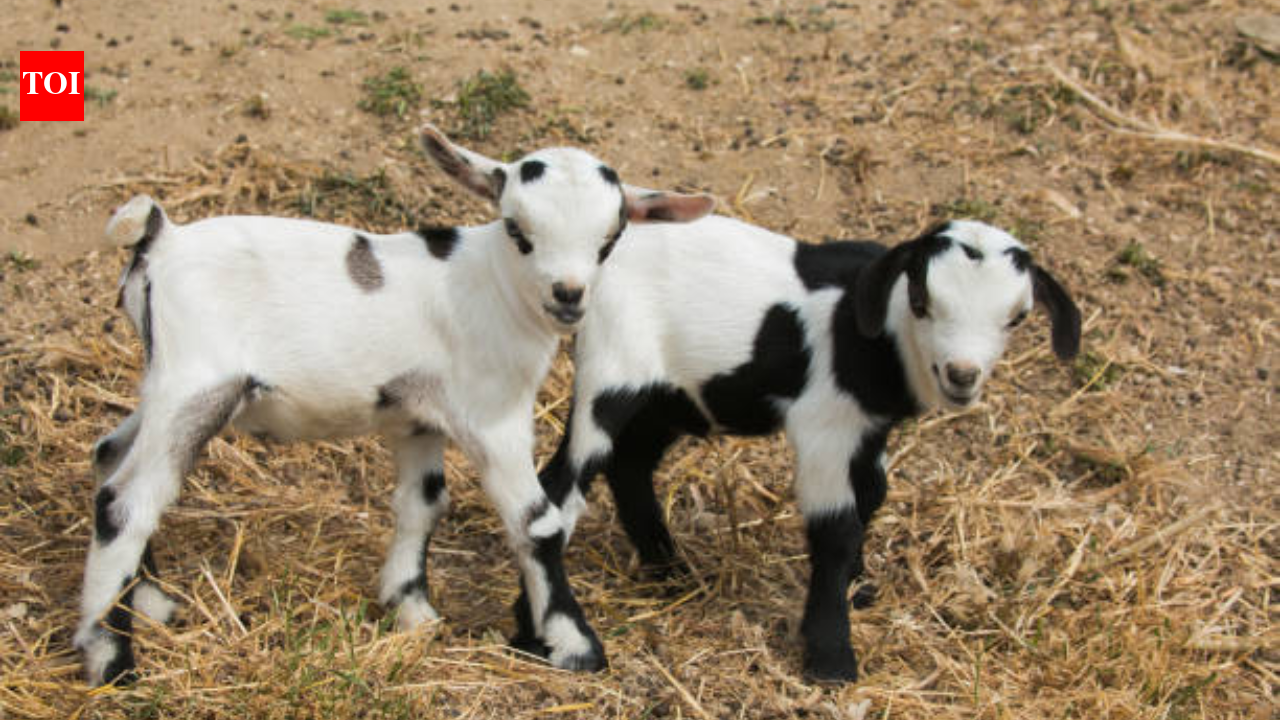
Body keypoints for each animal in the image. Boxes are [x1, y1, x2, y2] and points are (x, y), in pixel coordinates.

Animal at [76, 124, 715, 686]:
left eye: (611, 238)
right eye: (517, 230)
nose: (569, 296)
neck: (493, 287)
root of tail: (160, 239)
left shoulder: (417, 417)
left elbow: (422, 504)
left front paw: (411, 611)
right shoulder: (492, 415)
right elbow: (537, 522)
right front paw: (574, 644)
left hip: (168, 382)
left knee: (110, 457)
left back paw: (150, 603)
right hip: (196, 382)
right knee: (126, 502)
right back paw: (111, 660)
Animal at [514, 217, 1081, 682]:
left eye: (1017, 317)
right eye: (922, 301)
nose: (962, 375)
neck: (878, 338)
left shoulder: (868, 428)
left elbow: (872, 494)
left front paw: (859, 587)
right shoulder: (825, 427)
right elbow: (835, 527)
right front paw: (831, 658)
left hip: (669, 396)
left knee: (631, 465)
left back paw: (669, 571)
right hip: (611, 373)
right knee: (561, 487)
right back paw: (544, 635)